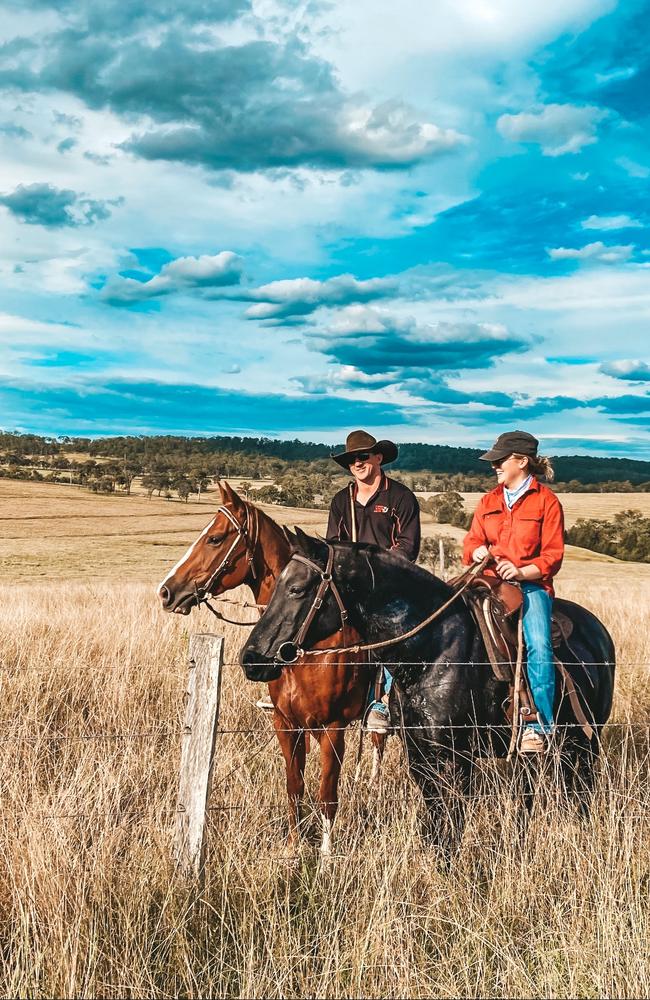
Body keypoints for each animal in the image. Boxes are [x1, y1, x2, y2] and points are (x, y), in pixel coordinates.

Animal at [158, 482, 380, 852]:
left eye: (215, 538)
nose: (166, 591)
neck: (302, 649)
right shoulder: (286, 723)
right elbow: (294, 786)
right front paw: (293, 845)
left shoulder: (333, 728)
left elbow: (327, 795)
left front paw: (326, 855)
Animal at [242, 532, 612, 844]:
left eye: (297, 589)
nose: (251, 658)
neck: (434, 649)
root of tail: (597, 629)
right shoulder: (419, 753)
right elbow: (435, 823)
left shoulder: (458, 757)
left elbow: (452, 823)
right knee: (530, 793)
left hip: (586, 741)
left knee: (580, 793)